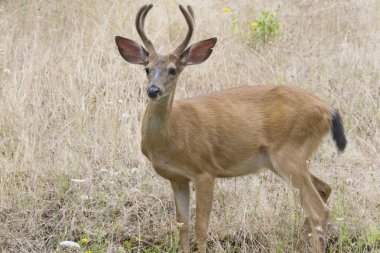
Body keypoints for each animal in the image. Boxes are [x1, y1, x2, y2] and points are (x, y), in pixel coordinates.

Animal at [115, 4, 348, 253]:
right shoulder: (177, 178)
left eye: (173, 70)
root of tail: (327, 110)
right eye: (147, 69)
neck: (172, 135)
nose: (153, 90)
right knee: (325, 188)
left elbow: (201, 227)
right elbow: (182, 226)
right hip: (283, 160)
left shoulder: (204, 172)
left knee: (318, 210)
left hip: (290, 152)